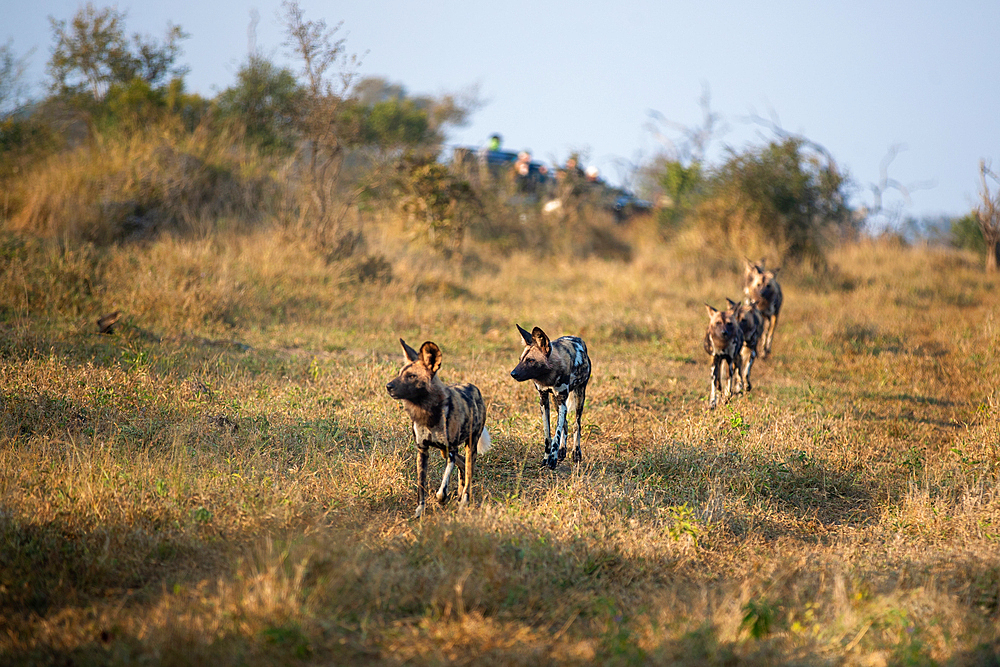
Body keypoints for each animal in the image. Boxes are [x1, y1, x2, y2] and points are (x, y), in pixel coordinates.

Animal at [384, 340, 490, 516]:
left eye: (411, 376)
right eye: (399, 373)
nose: (388, 386)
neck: (428, 412)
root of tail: (474, 388)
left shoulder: (451, 450)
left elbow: (442, 487)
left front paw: (442, 498)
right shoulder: (423, 451)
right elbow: (421, 486)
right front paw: (420, 510)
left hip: (470, 447)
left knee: (468, 472)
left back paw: (464, 501)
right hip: (444, 451)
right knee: (463, 466)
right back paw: (459, 494)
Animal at [512, 324, 588, 470]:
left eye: (531, 360)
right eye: (520, 359)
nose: (513, 373)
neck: (548, 376)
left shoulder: (562, 401)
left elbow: (556, 434)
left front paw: (552, 458)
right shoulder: (544, 400)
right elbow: (548, 434)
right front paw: (547, 457)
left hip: (579, 396)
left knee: (577, 424)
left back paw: (576, 452)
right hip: (555, 402)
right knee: (566, 423)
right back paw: (562, 450)